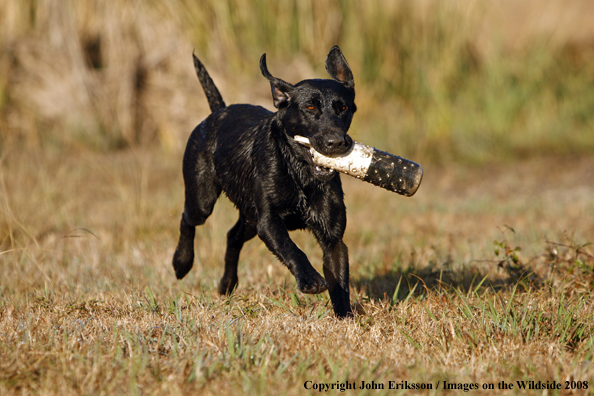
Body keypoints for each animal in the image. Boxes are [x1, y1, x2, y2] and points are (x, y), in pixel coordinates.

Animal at [172, 45, 356, 318]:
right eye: (310, 108)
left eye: (343, 108)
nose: (336, 142)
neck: (299, 174)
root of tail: (217, 112)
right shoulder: (268, 222)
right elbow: (292, 249)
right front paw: (311, 280)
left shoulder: (332, 237)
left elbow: (340, 281)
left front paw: (346, 318)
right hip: (203, 198)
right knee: (187, 220)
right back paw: (181, 263)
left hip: (249, 217)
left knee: (232, 236)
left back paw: (227, 284)